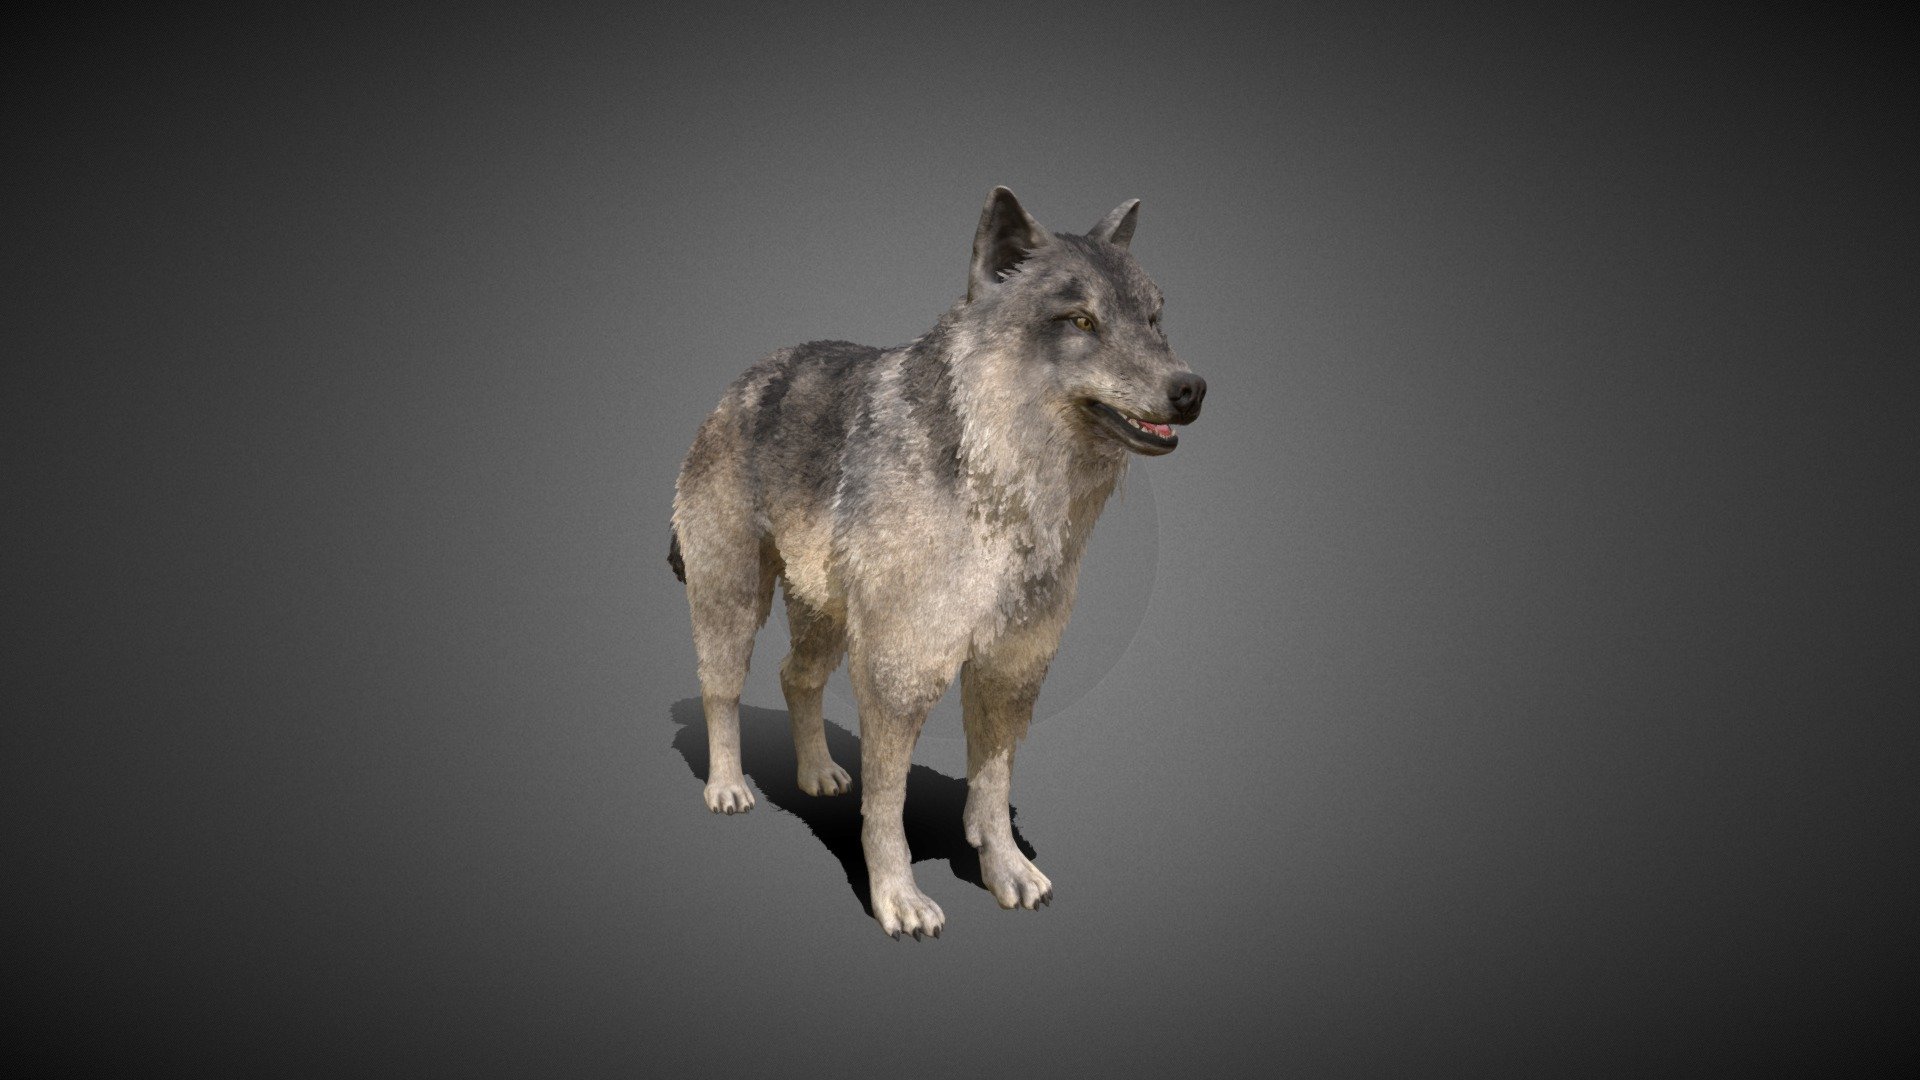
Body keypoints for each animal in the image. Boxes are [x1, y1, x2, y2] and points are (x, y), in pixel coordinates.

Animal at [669, 187, 1206, 939]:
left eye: (1155, 320)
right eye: (1081, 321)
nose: (1193, 389)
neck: (1003, 484)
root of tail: (736, 386)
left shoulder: (1012, 670)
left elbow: (992, 788)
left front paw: (1005, 870)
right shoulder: (901, 671)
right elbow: (887, 804)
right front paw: (897, 897)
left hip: (824, 619)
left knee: (794, 678)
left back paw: (818, 773)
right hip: (734, 601)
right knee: (722, 689)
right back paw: (727, 786)